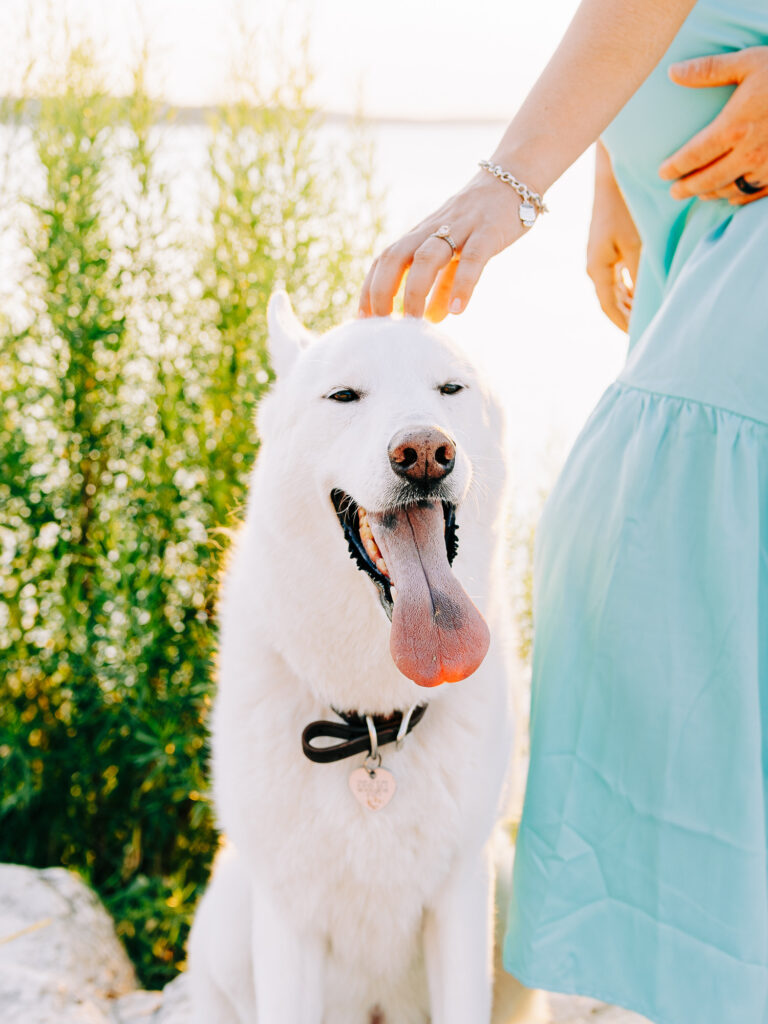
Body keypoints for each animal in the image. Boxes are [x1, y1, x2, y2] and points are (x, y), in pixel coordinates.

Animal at [188, 294, 528, 1024]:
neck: (374, 722)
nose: (425, 452)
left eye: (449, 390)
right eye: (344, 395)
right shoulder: (286, 923)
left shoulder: (461, 902)